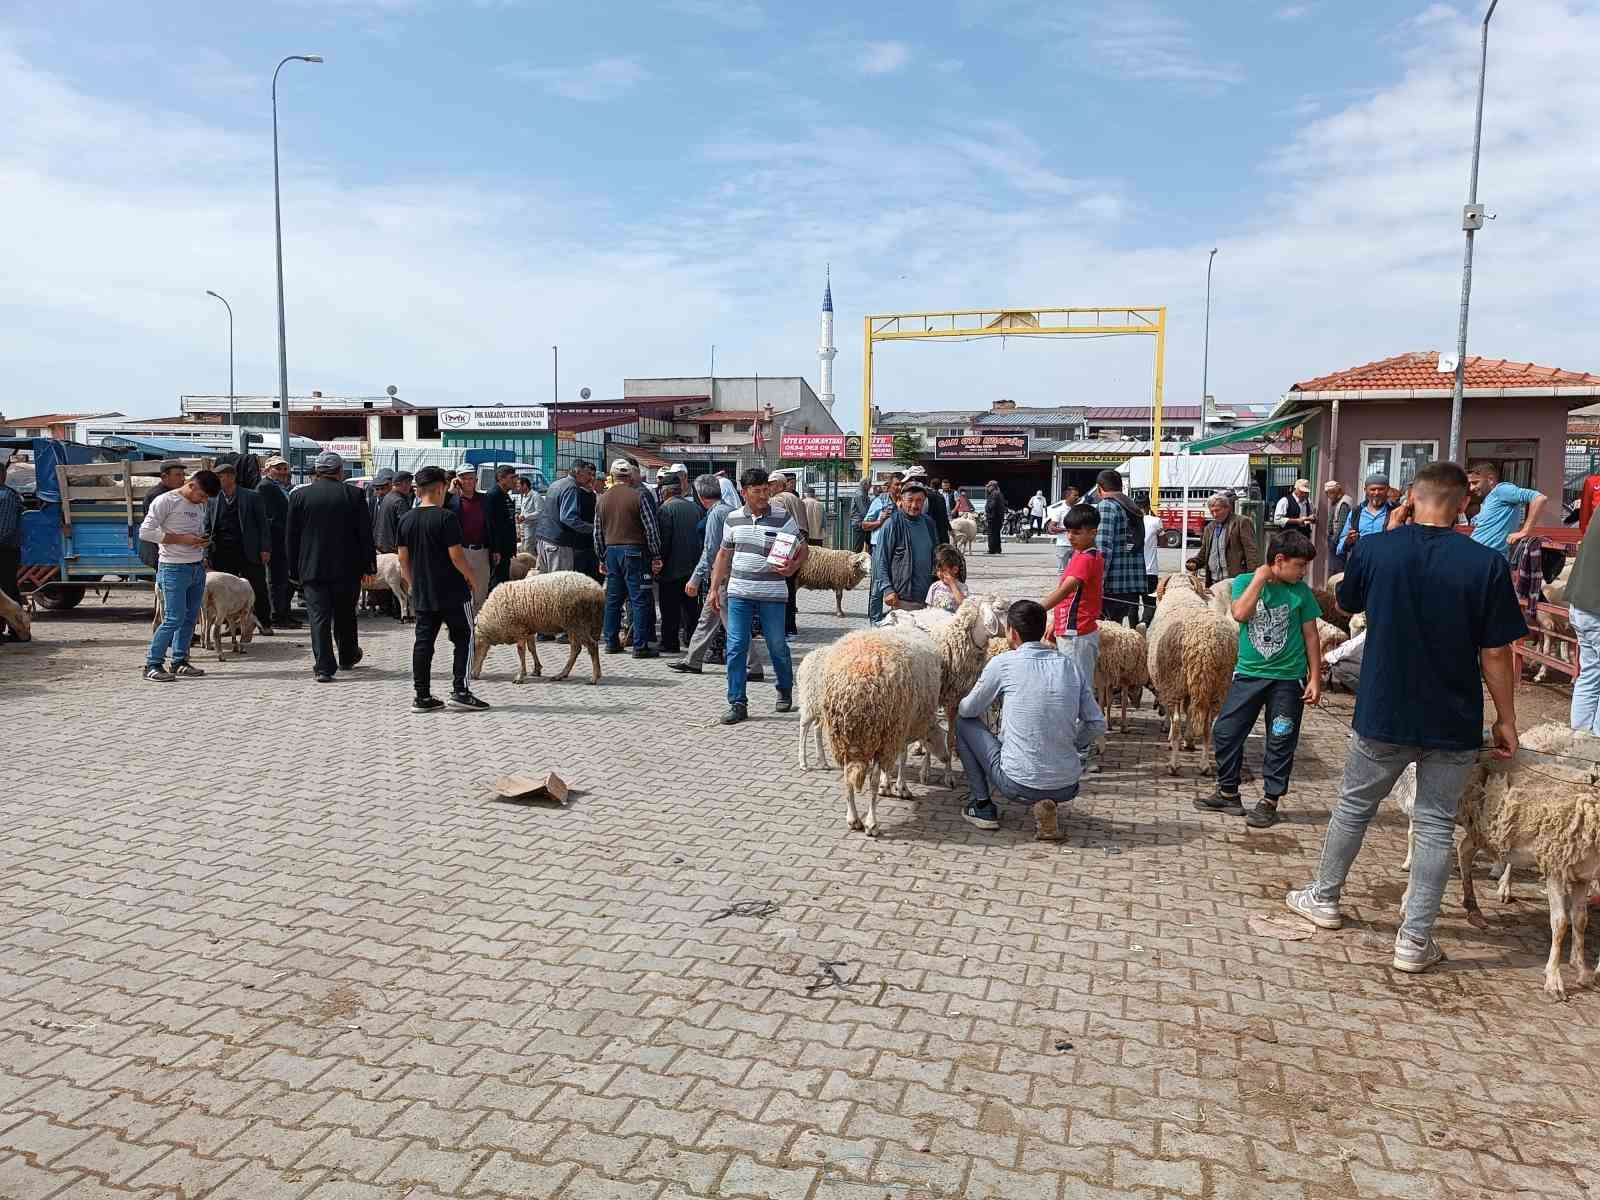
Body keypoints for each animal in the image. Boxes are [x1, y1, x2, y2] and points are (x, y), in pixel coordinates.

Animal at [470, 572, 608, 684]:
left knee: (592, 646)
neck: (492, 618)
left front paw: (520, 676)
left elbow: (521, 651)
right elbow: (532, 648)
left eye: (474, 649)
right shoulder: (528, 629)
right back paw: (561, 674)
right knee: (576, 649)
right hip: (572, 626)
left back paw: (594, 677)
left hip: (578, 624)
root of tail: (598, 590)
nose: (471, 675)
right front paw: (536, 669)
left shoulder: (519, 629)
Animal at [819, 624, 940, 838]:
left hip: (843, 739)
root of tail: (856, 686)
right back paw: (871, 823)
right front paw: (899, 788)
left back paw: (853, 819)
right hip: (882, 736)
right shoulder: (897, 732)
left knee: (847, 778)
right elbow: (901, 759)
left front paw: (891, 785)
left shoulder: (900, 731)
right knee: (871, 781)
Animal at [1152, 572, 1235, 780]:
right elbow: (1190, 711)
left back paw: (1174, 764)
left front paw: (1172, 736)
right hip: (1218, 685)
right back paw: (1204, 765)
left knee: (1176, 720)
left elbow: (1176, 713)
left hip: (1175, 680)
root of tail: (1204, 646)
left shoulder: (1167, 683)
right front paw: (1189, 739)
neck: (1181, 590)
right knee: (1207, 725)